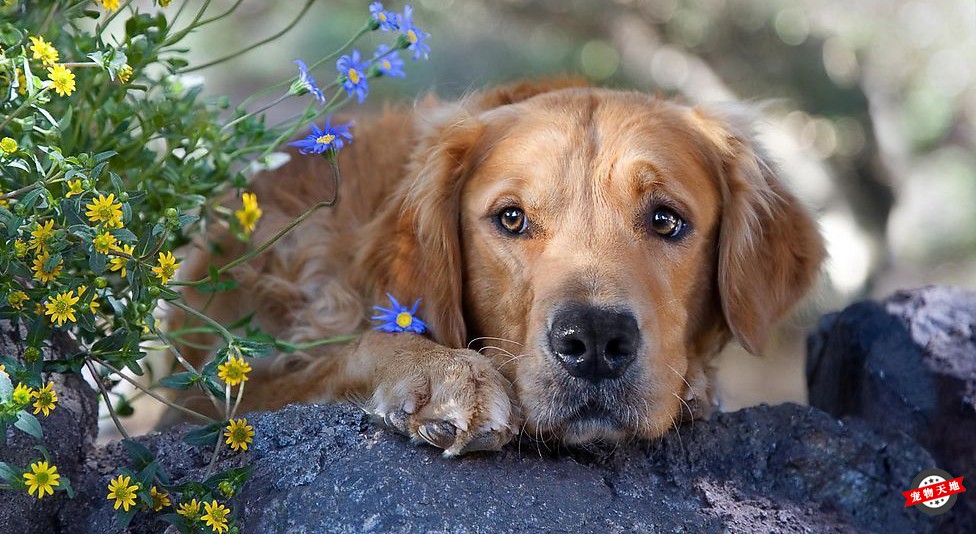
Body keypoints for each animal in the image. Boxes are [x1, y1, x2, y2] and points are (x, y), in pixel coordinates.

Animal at [173, 78, 824, 456]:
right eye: (511, 218)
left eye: (666, 220)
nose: (593, 341)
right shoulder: (216, 397)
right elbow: (351, 349)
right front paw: (442, 373)